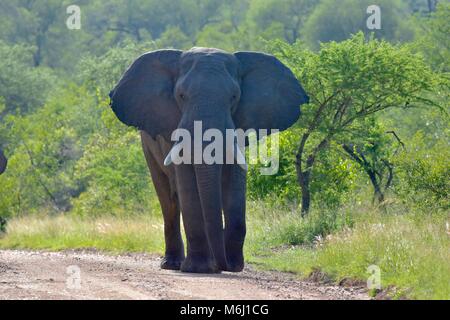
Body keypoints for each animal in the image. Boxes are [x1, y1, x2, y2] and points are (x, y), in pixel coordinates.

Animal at [109, 47, 308, 272]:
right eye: (181, 96)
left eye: (234, 97)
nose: (224, 265)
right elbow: (186, 186)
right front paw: (198, 269)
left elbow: (234, 182)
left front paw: (234, 266)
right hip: (148, 146)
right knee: (169, 199)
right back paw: (173, 264)